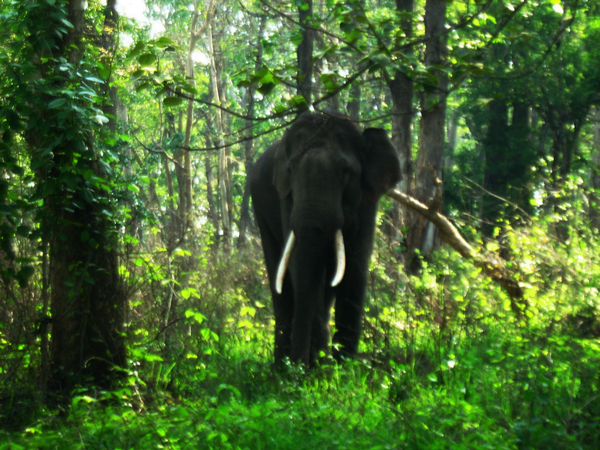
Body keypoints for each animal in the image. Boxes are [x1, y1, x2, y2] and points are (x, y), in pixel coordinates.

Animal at [251, 110, 400, 368]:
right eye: (290, 170)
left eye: (346, 171)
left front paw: (344, 366)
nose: (300, 365)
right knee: (280, 283)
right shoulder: (286, 199)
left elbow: (355, 269)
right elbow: (303, 271)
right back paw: (280, 366)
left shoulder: (366, 203)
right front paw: (320, 366)